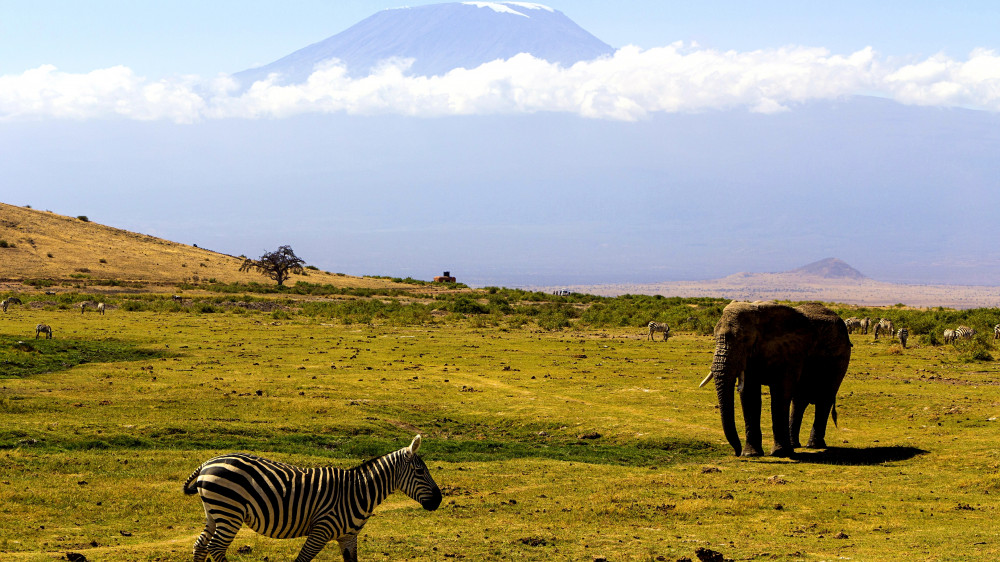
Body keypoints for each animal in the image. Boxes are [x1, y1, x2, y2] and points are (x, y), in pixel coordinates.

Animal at [185, 434, 442, 560]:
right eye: (420, 471)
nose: (439, 500)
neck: (358, 492)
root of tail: (208, 463)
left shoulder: (348, 537)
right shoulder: (321, 531)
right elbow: (302, 560)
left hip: (215, 513)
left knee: (201, 546)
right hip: (230, 513)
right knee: (216, 548)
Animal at [704, 302, 852, 456]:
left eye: (744, 339)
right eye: (714, 336)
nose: (737, 452)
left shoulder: (790, 351)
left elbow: (781, 393)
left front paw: (779, 453)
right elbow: (749, 394)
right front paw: (751, 454)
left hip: (840, 359)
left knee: (825, 399)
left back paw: (813, 445)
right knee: (799, 401)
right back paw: (796, 445)